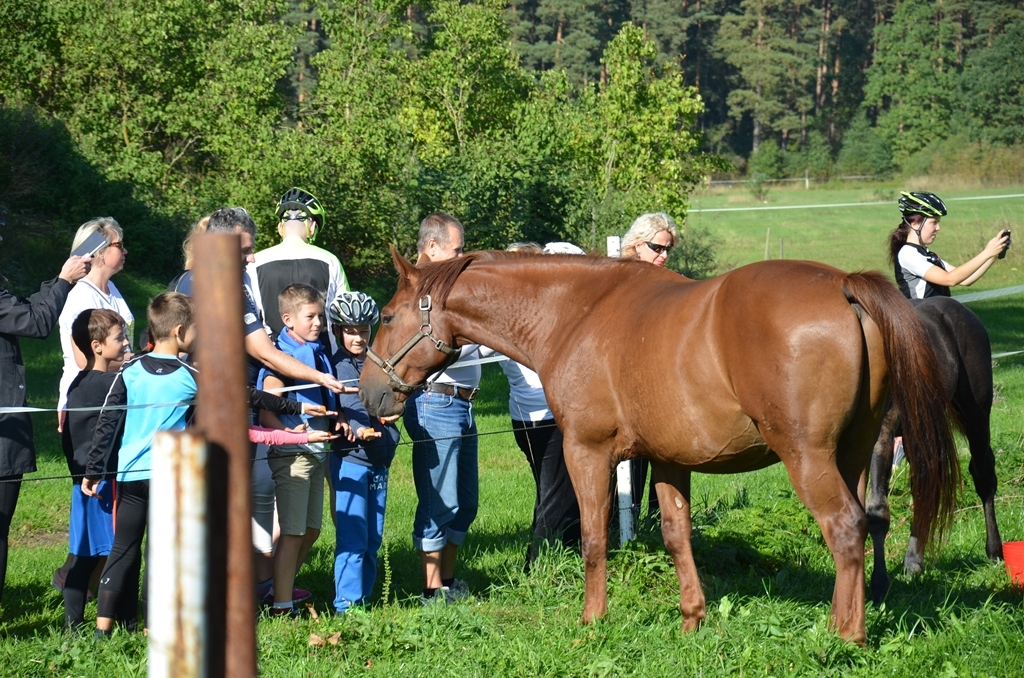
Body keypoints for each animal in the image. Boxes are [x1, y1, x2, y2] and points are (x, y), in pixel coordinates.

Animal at [362, 248, 958, 643]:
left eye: (386, 316)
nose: (368, 392)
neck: (576, 313)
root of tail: (843, 285)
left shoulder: (586, 452)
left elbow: (594, 538)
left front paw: (592, 620)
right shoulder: (672, 460)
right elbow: (676, 536)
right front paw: (692, 618)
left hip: (808, 459)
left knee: (845, 529)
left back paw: (844, 636)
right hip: (853, 453)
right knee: (866, 523)